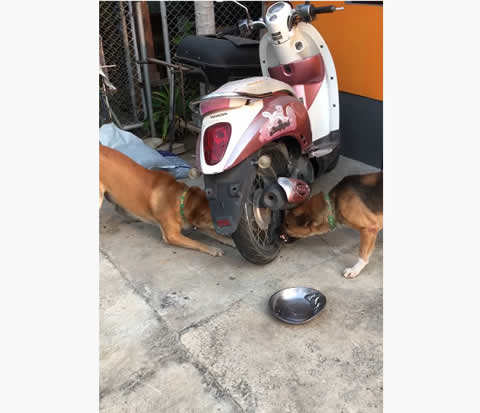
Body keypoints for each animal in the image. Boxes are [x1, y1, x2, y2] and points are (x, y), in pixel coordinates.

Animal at [100, 144, 234, 254]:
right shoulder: (172, 235)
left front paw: (228, 240)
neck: (181, 200)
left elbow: (215, 234)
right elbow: (197, 243)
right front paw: (212, 249)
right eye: (216, 218)